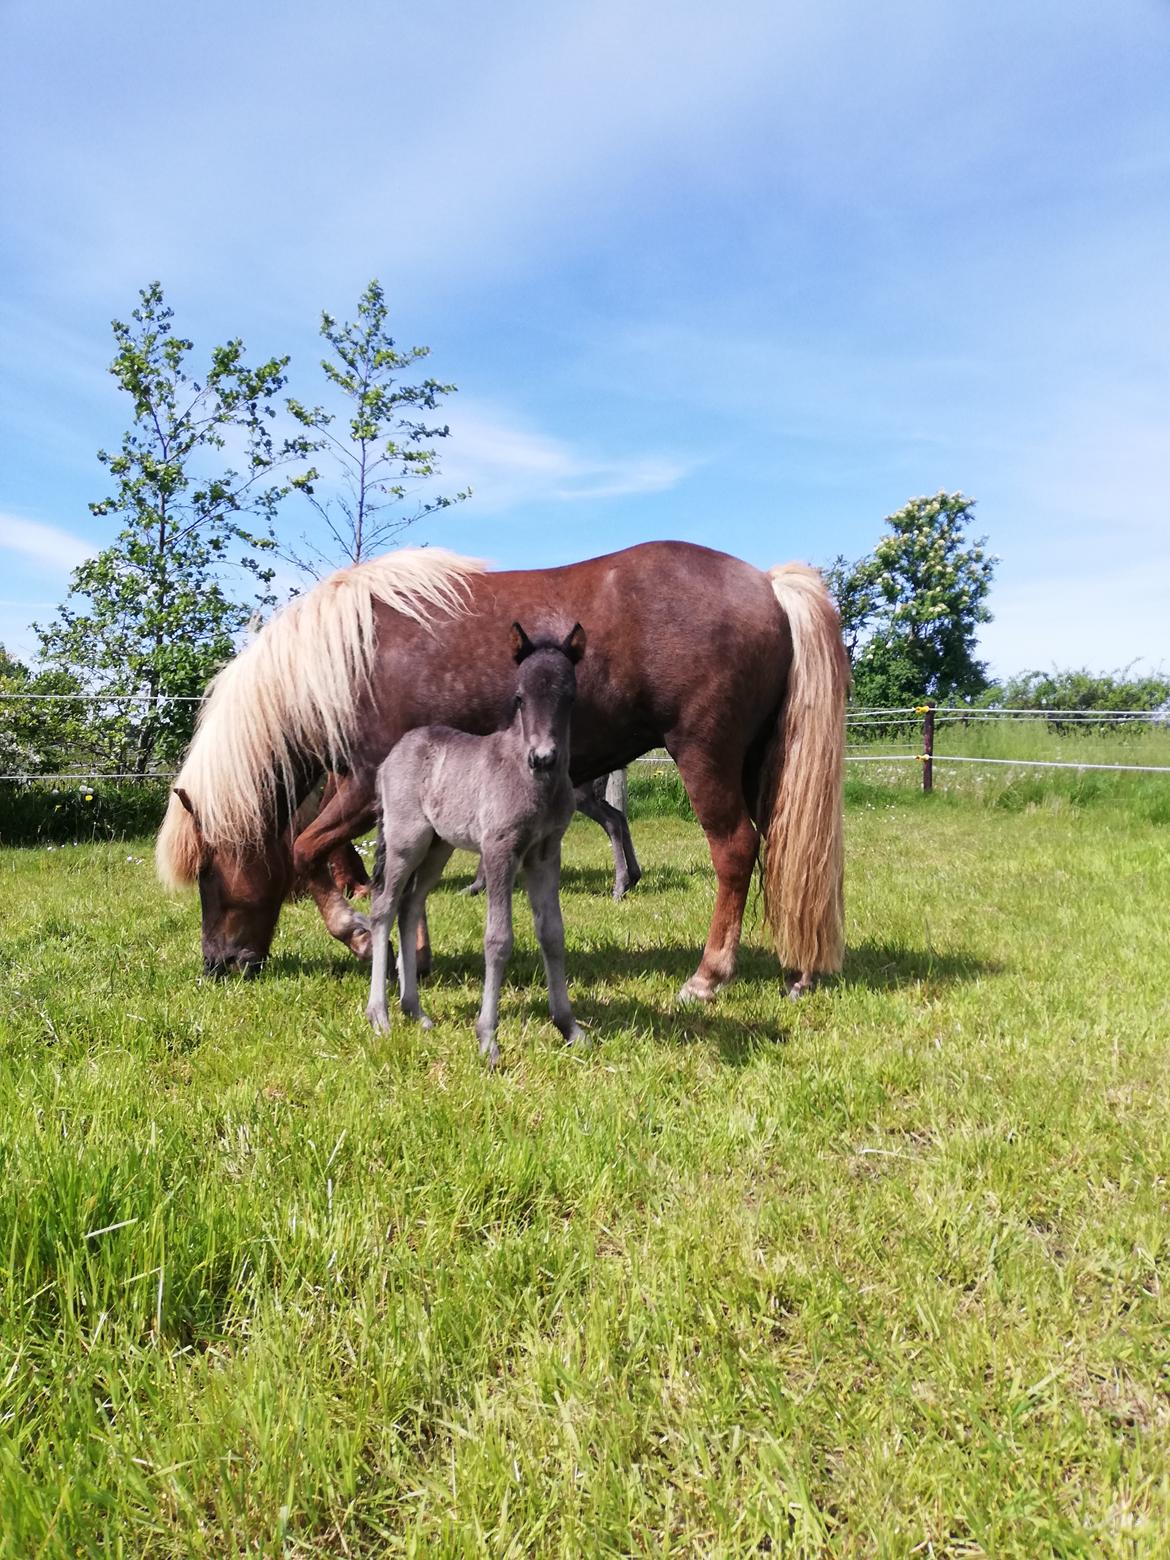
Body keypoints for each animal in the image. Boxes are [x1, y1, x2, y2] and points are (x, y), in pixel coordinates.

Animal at [158, 536, 854, 998]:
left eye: (210, 874)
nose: (218, 966)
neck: (347, 661)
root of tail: (768, 584)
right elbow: (393, 872)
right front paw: (413, 954)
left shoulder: (360, 786)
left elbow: (308, 850)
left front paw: (358, 935)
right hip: (760, 766)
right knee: (787, 855)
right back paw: (798, 972)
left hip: (706, 756)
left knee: (736, 850)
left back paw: (708, 977)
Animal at [366, 620, 586, 1073]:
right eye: (519, 697)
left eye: (570, 697)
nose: (543, 758)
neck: (534, 783)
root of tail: (391, 756)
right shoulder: (500, 850)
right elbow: (498, 939)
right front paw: (488, 1040)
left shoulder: (545, 853)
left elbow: (552, 933)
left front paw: (569, 1027)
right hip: (405, 842)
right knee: (383, 908)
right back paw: (380, 1015)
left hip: (438, 848)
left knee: (409, 907)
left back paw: (415, 1011)